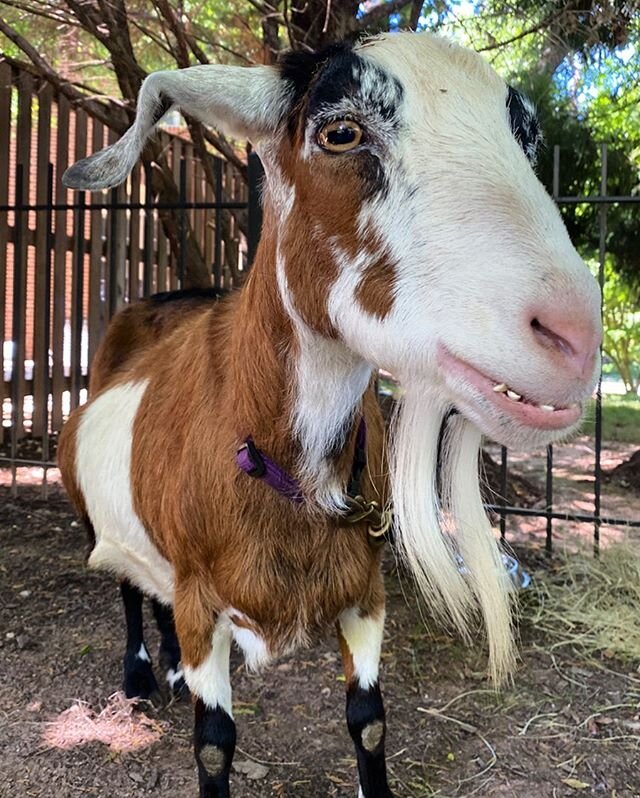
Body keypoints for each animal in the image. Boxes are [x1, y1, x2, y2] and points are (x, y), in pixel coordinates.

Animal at [57, 32, 604, 798]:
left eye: (525, 137)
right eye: (339, 132)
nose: (574, 339)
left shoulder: (364, 592)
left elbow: (368, 720)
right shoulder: (202, 599)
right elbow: (214, 744)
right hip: (96, 512)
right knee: (130, 590)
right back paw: (141, 672)